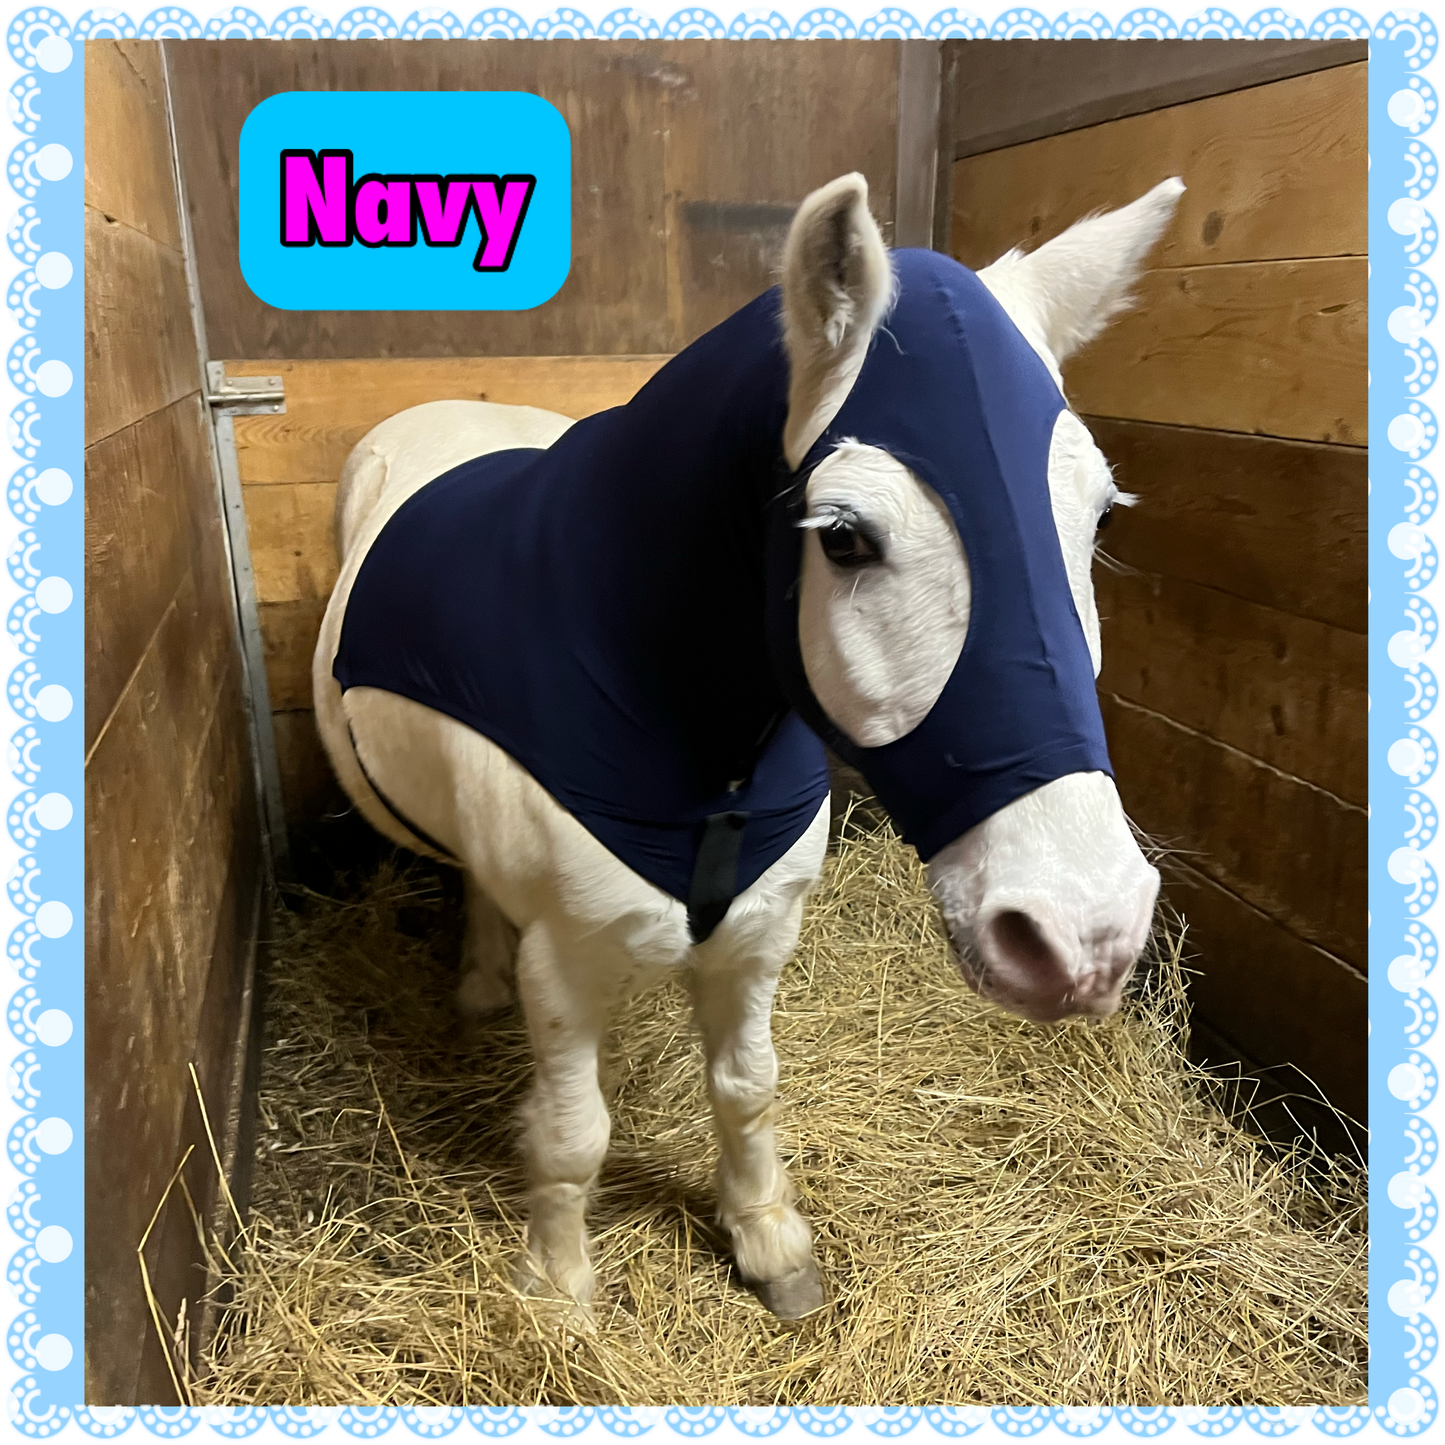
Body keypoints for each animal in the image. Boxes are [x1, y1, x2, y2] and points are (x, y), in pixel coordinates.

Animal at [313, 172, 1182, 1320]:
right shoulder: (567, 962)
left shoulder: (760, 934)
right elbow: (574, 1132)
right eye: (844, 535)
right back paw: (478, 985)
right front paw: (559, 1291)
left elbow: (746, 1088)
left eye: (1095, 519)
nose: (1085, 936)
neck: (701, 754)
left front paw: (768, 1241)